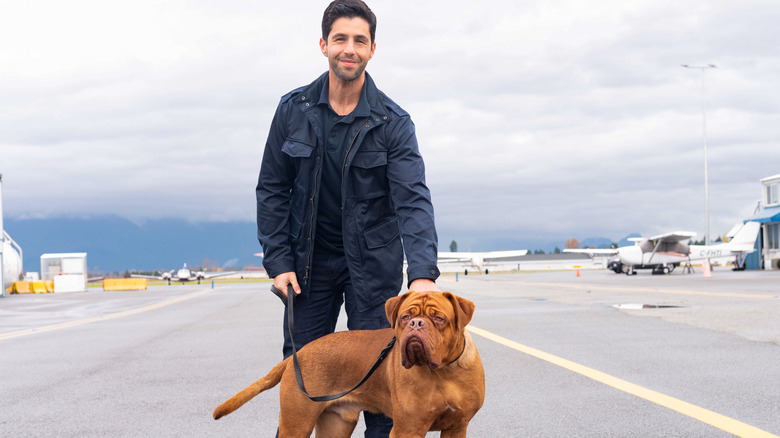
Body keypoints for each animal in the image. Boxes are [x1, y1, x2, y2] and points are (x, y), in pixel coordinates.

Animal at [210, 290, 484, 438]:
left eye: (439, 319)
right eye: (405, 317)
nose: (416, 324)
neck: (442, 372)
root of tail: (297, 355)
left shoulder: (457, 427)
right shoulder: (407, 428)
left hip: (335, 423)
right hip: (296, 421)